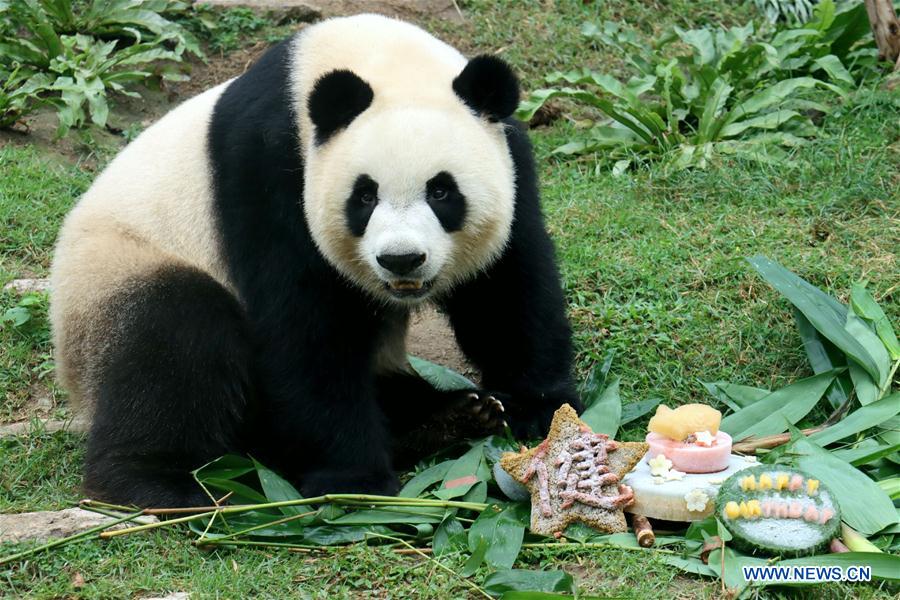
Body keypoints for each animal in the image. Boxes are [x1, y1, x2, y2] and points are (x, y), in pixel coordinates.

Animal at [49, 14, 576, 506]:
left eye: (442, 191)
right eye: (364, 196)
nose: (401, 260)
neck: (377, 58)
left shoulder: (510, 158)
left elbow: (506, 286)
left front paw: (537, 409)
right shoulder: (269, 169)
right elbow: (304, 326)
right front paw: (353, 480)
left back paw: (451, 416)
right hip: (117, 272)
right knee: (172, 344)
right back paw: (159, 485)